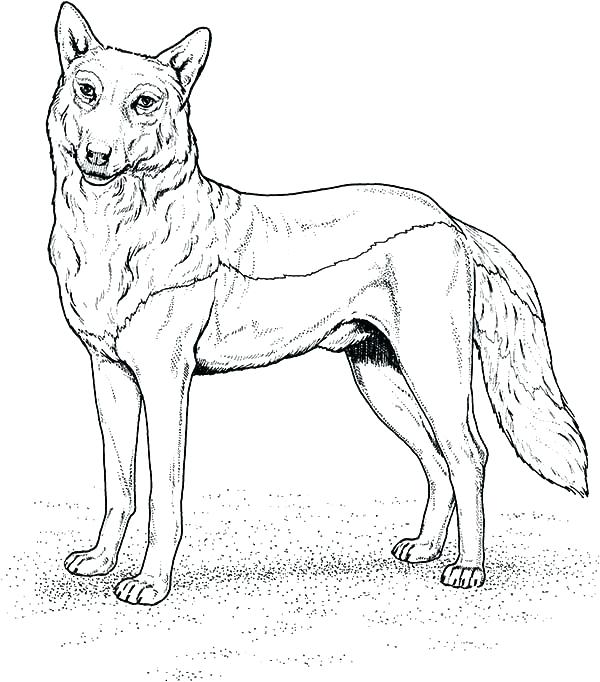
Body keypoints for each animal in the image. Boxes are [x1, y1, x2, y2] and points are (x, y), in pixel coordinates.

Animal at [48, 3, 587, 605]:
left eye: (144, 103)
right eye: (87, 91)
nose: (96, 155)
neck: (116, 229)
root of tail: (448, 219)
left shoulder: (165, 383)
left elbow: (163, 498)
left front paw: (149, 581)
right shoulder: (110, 375)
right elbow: (119, 484)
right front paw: (101, 560)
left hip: (434, 373)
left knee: (469, 457)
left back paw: (468, 568)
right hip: (382, 380)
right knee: (437, 462)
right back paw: (425, 548)